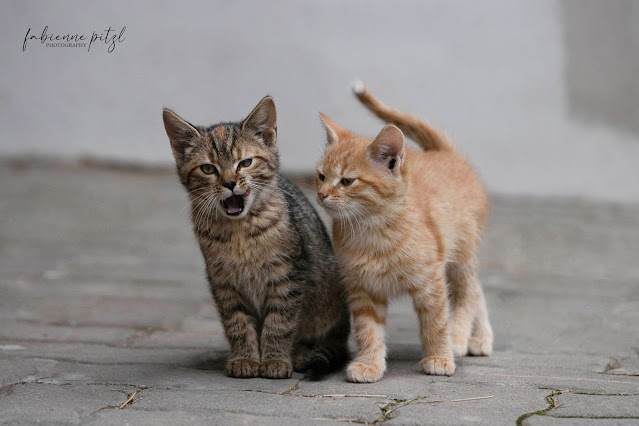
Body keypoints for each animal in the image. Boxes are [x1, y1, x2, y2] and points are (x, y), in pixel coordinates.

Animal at [162, 97, 348, 380]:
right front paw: (245, 358)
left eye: (245, 163)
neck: (239, 232)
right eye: (208, 168)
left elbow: (279, 323)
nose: (229, 183)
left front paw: (274, 360)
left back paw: (300, 354)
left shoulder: (287, 277)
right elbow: (237, 323)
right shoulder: (223, 282)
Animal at [316, 82, 496, 382]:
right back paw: (479, 338)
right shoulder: (362, 287)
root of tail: (444, 152)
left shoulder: (431, 280)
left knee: (468, 293)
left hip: (462, 254)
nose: (321, 194)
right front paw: (369, 364)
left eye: (347, 181)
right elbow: (367, 330)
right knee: (477, 290)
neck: (373, 229)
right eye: (320, 176)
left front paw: (439, 356)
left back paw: (461, 338)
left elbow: (436, 322)